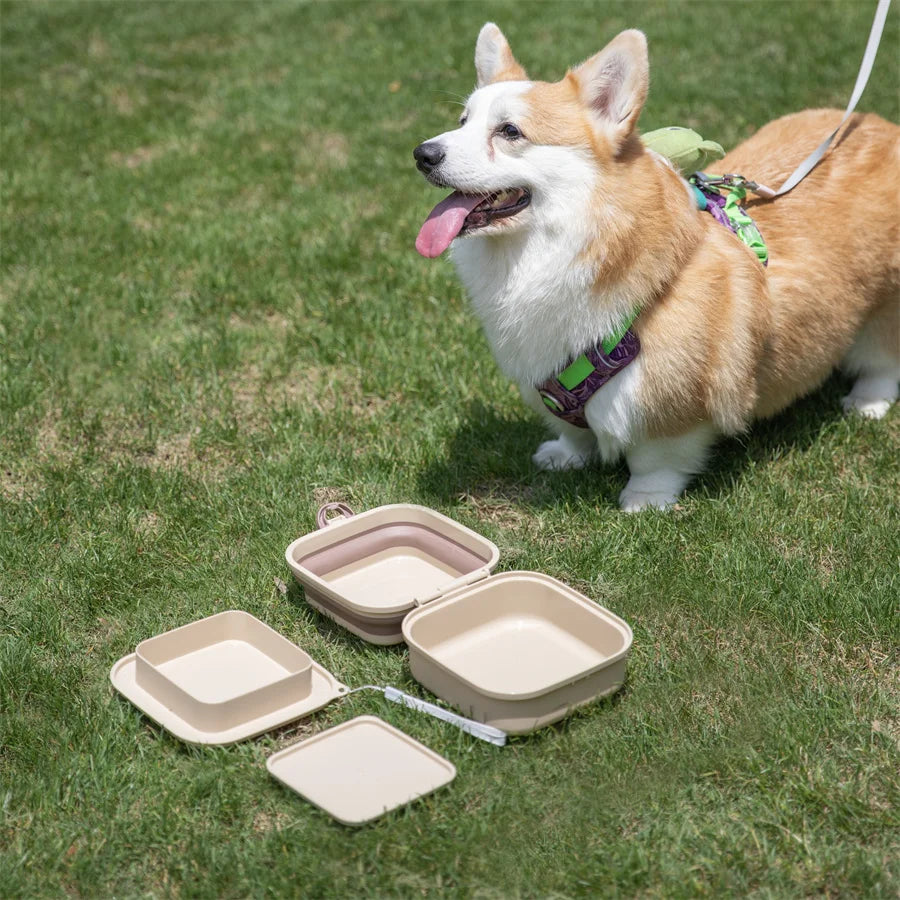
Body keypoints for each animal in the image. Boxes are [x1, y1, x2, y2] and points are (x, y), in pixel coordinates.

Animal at [412, 24, 896, 510]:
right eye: (463, 121)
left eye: (510, 131)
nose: (422, 154)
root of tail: (882, 125)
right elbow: (573, 432)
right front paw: (565, 455)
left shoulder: (665, 402)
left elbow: (656, 457)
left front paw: (643, 502)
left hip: (883, 311)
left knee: (882, 362)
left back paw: (867, 402)